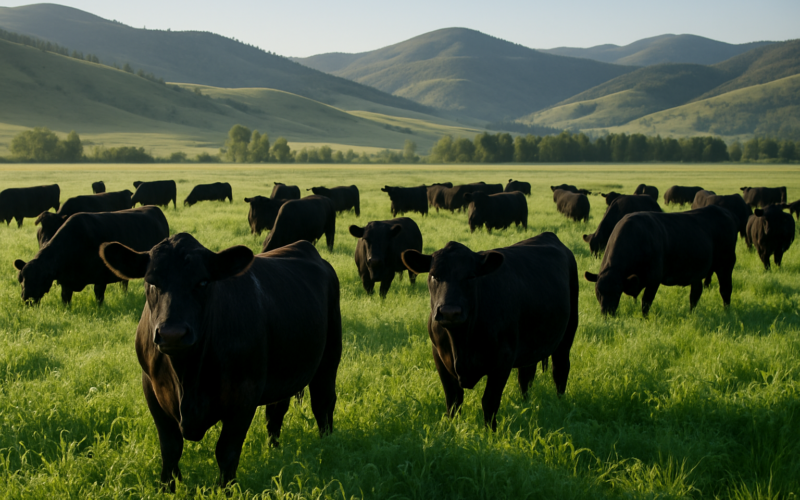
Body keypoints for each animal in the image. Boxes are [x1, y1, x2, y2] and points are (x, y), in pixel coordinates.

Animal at [13, 207, 169, 304]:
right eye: (20, 279)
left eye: (39, 279)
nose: (26, 298)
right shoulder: (66, 281)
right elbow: (65, 299)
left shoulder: (101, 277)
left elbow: (99, 295)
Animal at [98, 234, 341, 489]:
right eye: (151, 282)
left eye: (203, 282)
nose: (172, 334)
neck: (187, 376)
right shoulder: (152, 390)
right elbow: (170, 448)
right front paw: (168, 487)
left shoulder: (245, 395)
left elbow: (227, 452)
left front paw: (226, 489)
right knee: (276, 411)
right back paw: (274, 450)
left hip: (330, 356)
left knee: (323, 402)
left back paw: (326, 445)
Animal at [400, 233, 579, 430]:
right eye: (434, 276)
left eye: (471, 277)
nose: (450, 312)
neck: (460, 342)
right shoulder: (439, 356)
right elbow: (453, 401)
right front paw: (453, 430)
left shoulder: (503, 359)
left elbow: (489, 401)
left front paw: (490, 433)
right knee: (526, 375)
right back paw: (525, 404)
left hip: (568, 332)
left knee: (560, 368)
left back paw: (560, 403)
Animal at [584, 205, 738, 317]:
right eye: (598, 291)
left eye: (617, 292)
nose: (606, 313)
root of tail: (721, 210)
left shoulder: (654, 280)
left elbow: (646, 302)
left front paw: (644, 319)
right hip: (697, 273)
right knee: (695, 294)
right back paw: (691, 313)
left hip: (726, 265)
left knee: (725, 289)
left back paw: (727, 312)